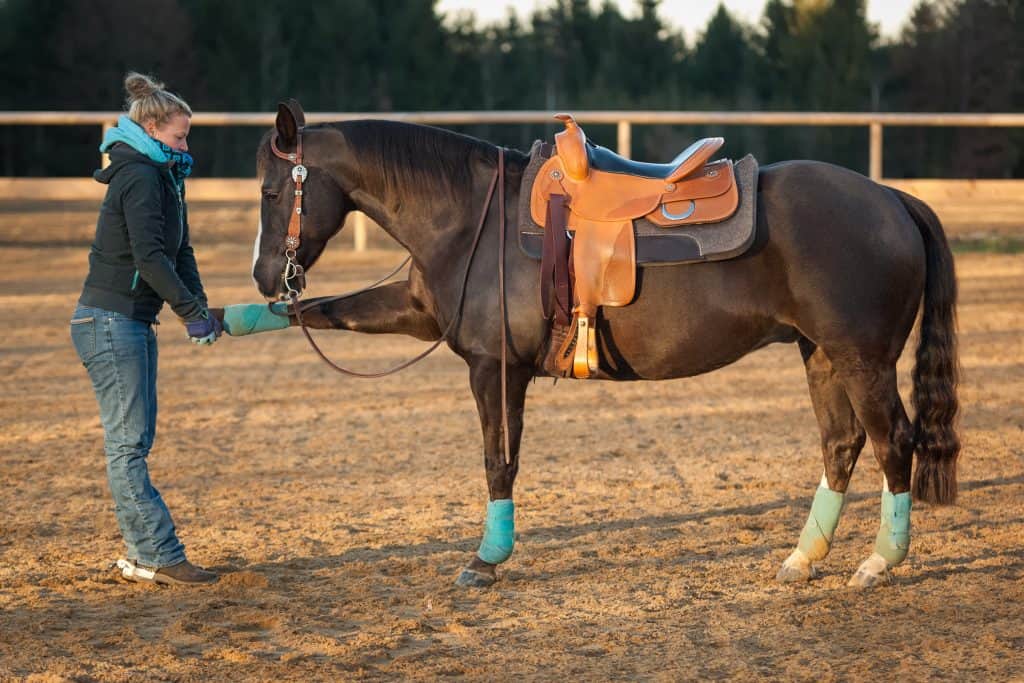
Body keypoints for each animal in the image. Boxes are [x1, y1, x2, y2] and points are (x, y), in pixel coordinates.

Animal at [249, 104, 958, 589]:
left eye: (271, 191)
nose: (262, 275)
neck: (471, 215)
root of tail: (891, 198)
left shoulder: (493, 368)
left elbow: (498, 461)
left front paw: (486, 559)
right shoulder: (422, 317)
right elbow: (324, 311)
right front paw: (243, 317)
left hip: (863, 360)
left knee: (893, 441)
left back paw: (879, 561)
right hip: (822, 356)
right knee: (841, 444)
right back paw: (802, 558)